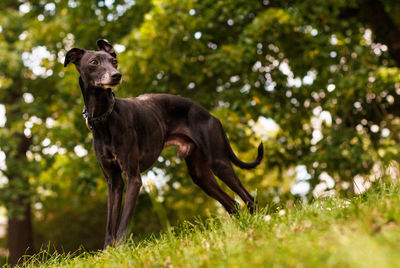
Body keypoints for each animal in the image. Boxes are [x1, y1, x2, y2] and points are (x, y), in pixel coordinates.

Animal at [64, 39, 264, 247]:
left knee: (249, 199)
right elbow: (110, 224)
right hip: (200, 175)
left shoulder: (133, 178)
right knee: (233, 204)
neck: (106, 117)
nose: (116, 75)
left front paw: (120, 248)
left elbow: (124, 222)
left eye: (114, 61)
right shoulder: (113, 181)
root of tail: (210, 115)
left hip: (219, 163)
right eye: (94, 62)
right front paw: (108, 251)